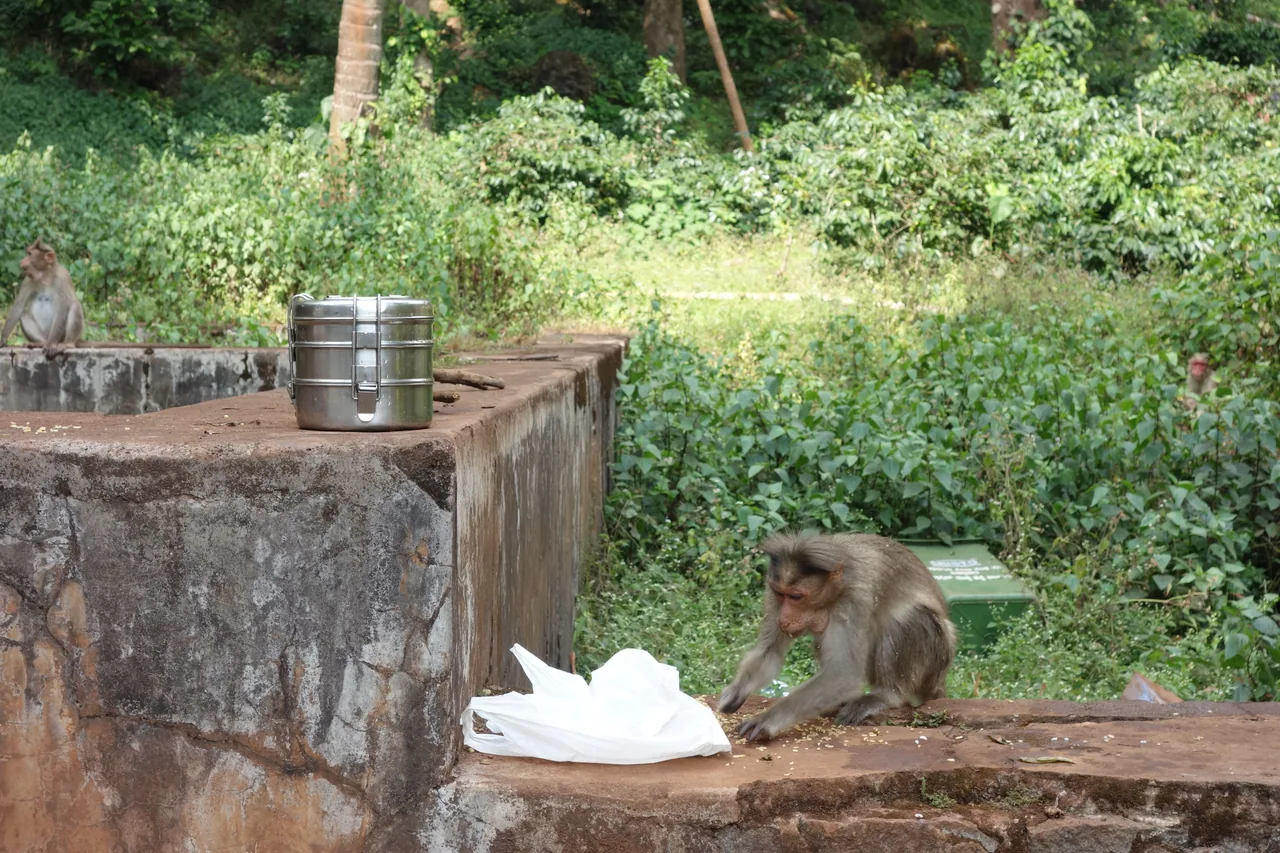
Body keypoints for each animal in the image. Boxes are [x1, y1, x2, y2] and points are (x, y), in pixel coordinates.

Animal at [718, 531, 957, 742]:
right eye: (780, 594)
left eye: (796, 596)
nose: (783, 620)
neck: (837, 588)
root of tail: (940, 680)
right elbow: (770, 652)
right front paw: (735, 691)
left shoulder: (855, 597)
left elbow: (844, 674)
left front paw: (767, 720)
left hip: (935, 663)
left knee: (909, 619)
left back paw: (886, 695)